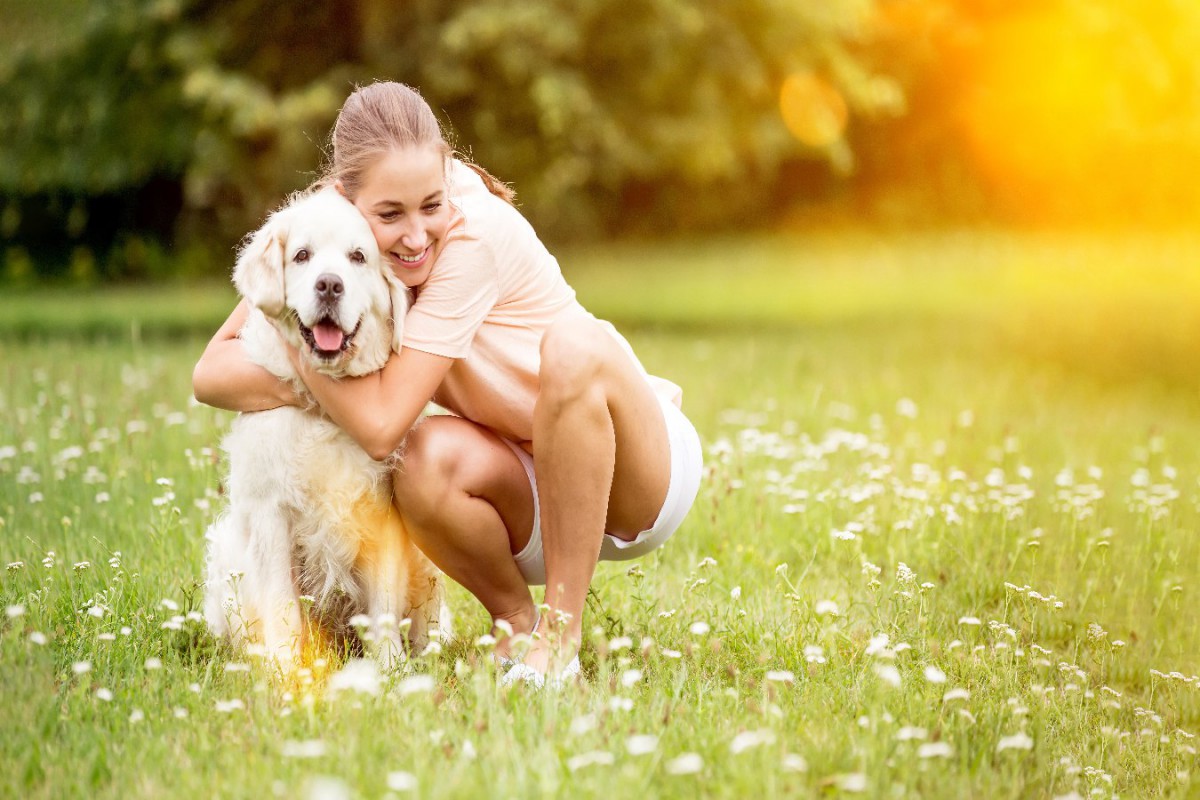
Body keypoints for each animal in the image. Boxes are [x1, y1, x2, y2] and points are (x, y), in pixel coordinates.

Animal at [204, 185, 451, 671]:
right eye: (302, 255)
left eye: (358, 257)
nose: (330, 285)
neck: (330, 409)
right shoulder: (271, 515)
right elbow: (282, 604)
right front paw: (286, 669)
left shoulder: (384, 517)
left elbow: (383, 606)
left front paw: (389, 668)